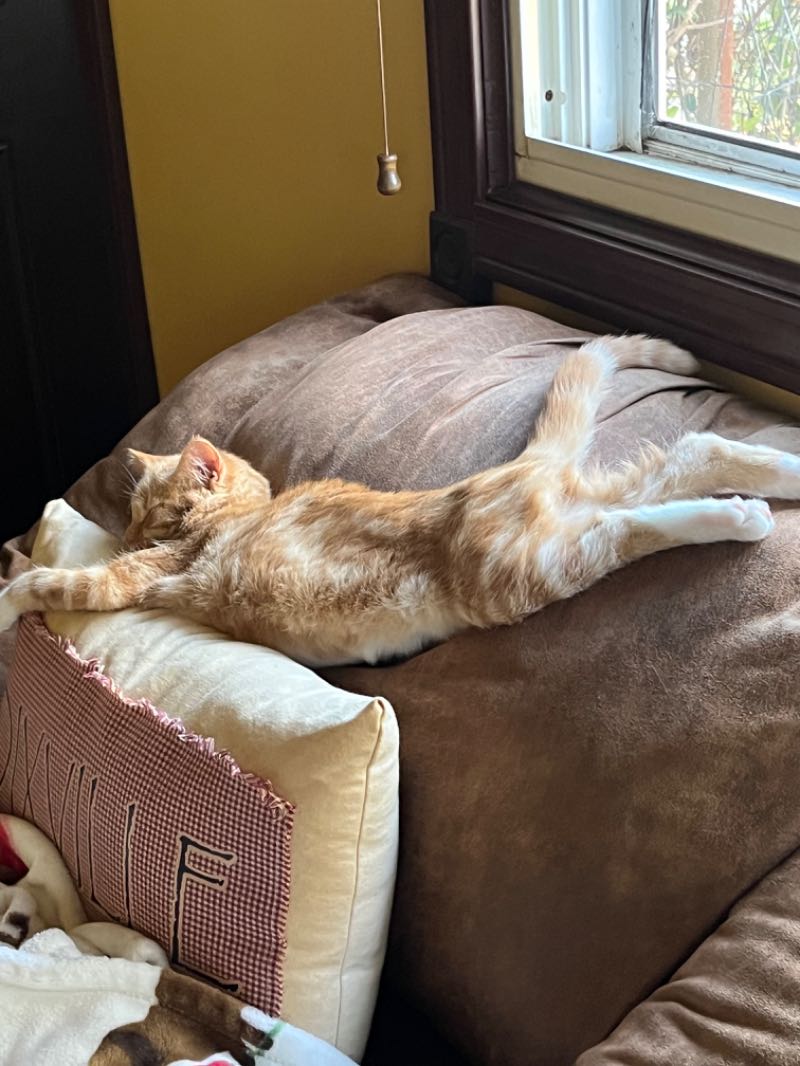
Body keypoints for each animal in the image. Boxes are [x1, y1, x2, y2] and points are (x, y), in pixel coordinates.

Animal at [2, 335, 800, 667]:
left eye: (153, 515)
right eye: (132, 514)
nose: (130, 534)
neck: (239, 515)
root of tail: (517, 467)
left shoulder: (128, 579)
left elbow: (47, 581)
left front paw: (9, 601)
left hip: (525, 567)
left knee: (635, 527)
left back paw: (737, 517)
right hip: (567, 515)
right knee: (690, 456)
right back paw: (785, 472)